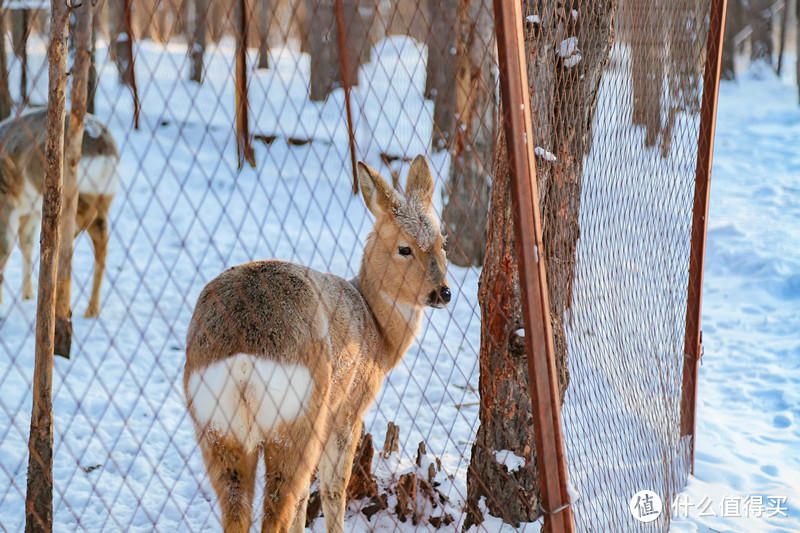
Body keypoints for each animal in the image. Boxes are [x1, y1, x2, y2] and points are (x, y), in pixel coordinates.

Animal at [0, 107, 119, 316]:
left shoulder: (8, 200)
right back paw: (90, 310)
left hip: (73, 198)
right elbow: (26, 243)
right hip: (104, 200)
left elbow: (6, 247)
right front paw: (28, 296)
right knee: (101, 243)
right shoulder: (29, 211)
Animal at [184, 155, 454, 532]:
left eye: (443, 242)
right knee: (278, 507)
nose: (442, 293)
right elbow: (334, 489)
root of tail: (242, 357)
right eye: (404, 248)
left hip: (216, 428)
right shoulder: (348, 408)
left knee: (239, 512)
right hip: (296, 418)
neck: (378, 333)